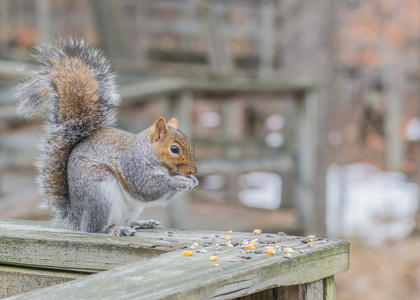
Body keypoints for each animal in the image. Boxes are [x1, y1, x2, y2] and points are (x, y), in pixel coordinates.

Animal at [14, 38, 199, 237]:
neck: (148, 152)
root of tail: (78, 217)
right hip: (100, 196)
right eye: (174, 149)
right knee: (97, 227)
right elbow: (147, 188)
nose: (193, 171)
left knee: (126, 220)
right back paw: (116, 229)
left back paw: (142, 222)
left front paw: (192, 181)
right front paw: (179, 181)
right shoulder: (134, 166)